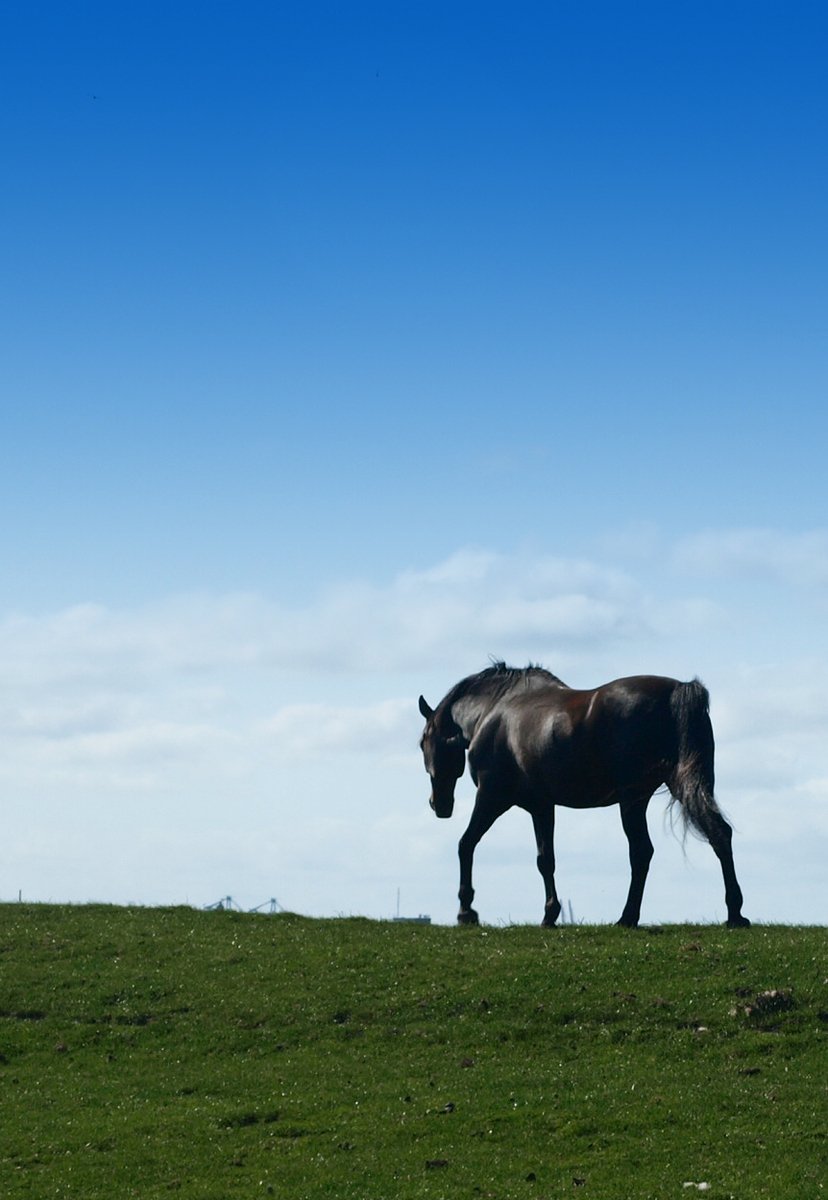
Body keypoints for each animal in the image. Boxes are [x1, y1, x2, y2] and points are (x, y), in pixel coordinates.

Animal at [420, 667, 748, 926]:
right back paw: (735, 913)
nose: (438, 804)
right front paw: (550, 914)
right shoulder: (541, 807)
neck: (494, 712)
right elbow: (545, 859)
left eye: (423, 741)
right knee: (719, 833)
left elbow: (466, 844)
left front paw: (466, 910)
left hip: (633, 800)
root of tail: (679, 689)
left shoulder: (491, 797)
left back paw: (628, 917)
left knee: (641, 852)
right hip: (685, 787)